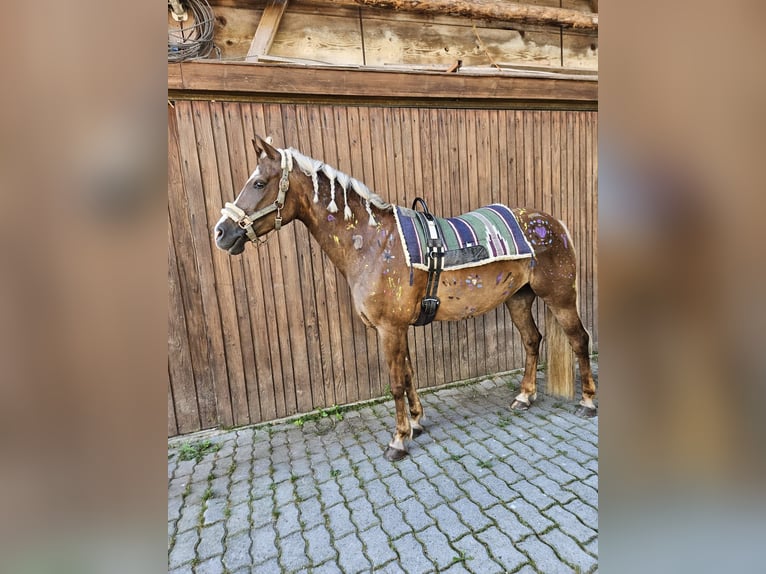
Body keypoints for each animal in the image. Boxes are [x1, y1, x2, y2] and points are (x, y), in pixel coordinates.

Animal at [216, 136, 600, 464]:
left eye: (259, 183)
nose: (221, 232)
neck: (373, 242)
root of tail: (553, 223)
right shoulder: (400, 328)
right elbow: (410, 374)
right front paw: (416, 423)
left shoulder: (389, 329)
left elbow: (396, 382)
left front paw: (398, 441)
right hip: (518, 299)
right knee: (532, 341)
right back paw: (524, 396)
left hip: (560, 297)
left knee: (579, 340)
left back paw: (587, 402)